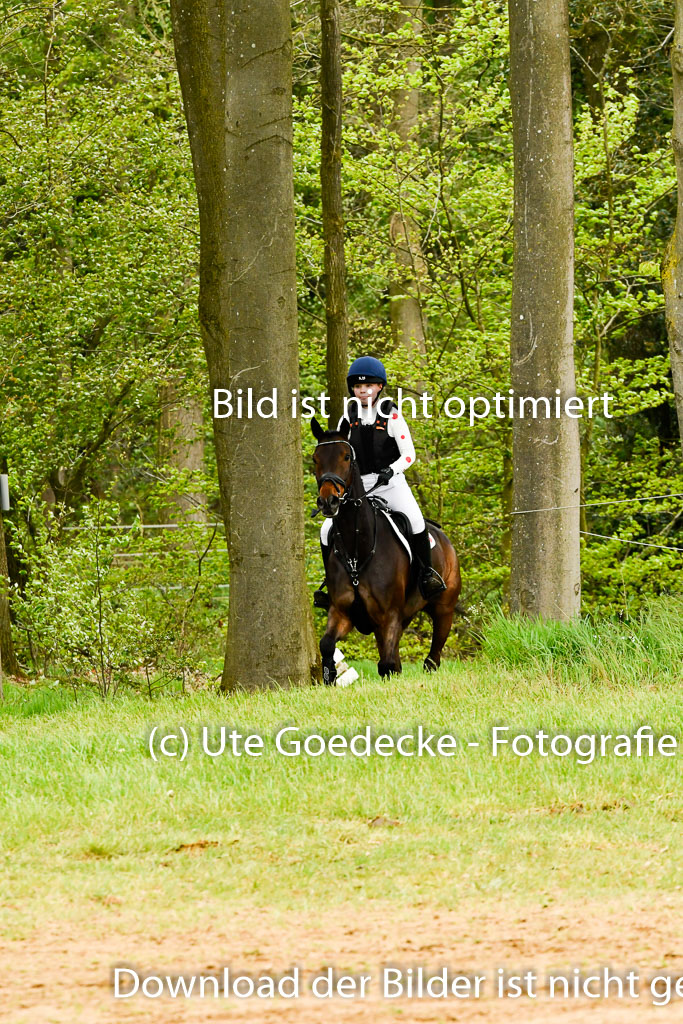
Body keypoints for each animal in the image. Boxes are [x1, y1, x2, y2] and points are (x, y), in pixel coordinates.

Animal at [311, 417, 462, 684]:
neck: (358, 550)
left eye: (346, 456)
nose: (329, 502)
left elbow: (388, 665)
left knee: (432, 659)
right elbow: (327, 645)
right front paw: (329, 675)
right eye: (315, 458)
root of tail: (444, 538)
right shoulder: (342, 612)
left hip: (444, 610)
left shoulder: (389, 616)